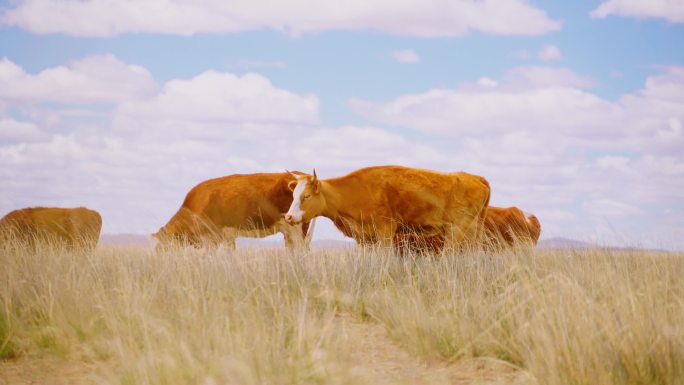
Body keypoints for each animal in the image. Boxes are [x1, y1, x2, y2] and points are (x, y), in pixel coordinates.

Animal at [284, 164, 492, 249]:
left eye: (306, 196)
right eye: (293, 195)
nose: (288, 217)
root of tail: (475, 178)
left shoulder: (385, 231)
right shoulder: (364, 238)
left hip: (458, 231)